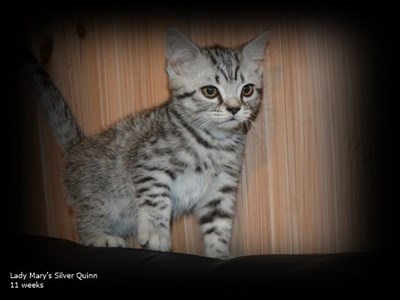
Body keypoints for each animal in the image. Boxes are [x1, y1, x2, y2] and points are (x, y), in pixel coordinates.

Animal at [26, 27, 268, 258]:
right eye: (210, 91)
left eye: (247, 90)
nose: (234, 108)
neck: (213, 143)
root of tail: (76, 147)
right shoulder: (149, 164)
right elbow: (156, 198)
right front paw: (156, 233)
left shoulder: (221, 188)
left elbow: (218, 226)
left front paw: (219, 255)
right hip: (100, 200)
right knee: (82, 222)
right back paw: (99, 237)